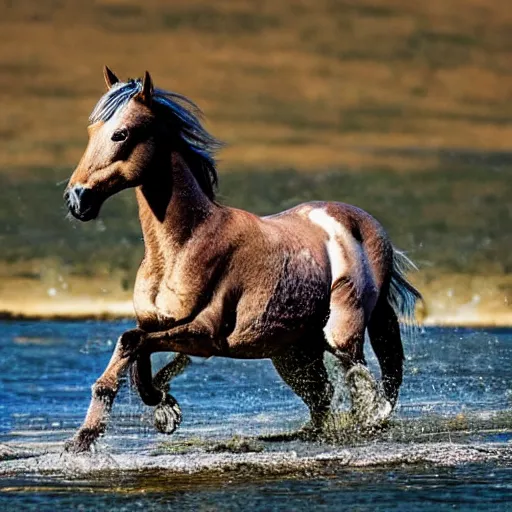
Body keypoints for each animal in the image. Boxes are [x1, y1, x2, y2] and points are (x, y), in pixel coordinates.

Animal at [62, 67, 420, 452]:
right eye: (92, 131)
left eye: (121, 133)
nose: (76, 198)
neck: (184, 245)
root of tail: (368, 225)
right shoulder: (156, 324)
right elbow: (137, 351)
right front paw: (163, 408)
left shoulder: (205, 334)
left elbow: (130, 343)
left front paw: (87, 437)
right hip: (293, 352)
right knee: (323, 398)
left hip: (341, 332)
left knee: (360, 381)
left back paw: (367, 423)